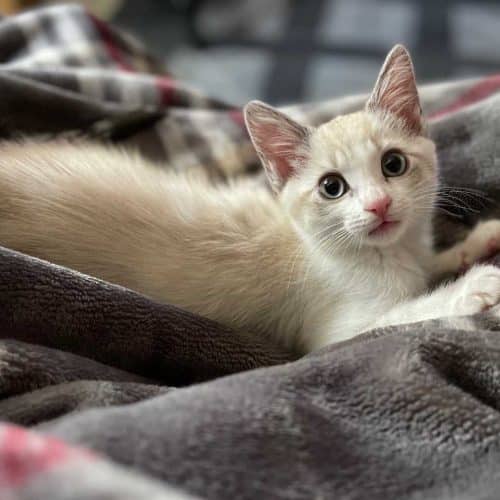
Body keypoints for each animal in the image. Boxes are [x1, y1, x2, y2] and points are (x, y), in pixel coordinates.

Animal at [0, 44, 499, 353]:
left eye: (393, 164)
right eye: (332, 187)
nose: (378, 206)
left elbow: (427, 272)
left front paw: (476, 244)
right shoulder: (332, 332)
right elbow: (405, 313)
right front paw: (475, 286)